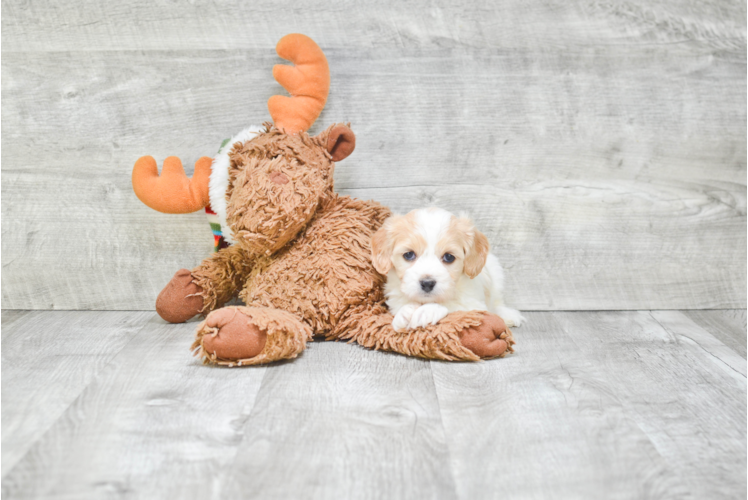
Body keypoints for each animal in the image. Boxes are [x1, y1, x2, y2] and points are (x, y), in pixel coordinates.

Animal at [370, 207, 524, 332]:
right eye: (409, 254)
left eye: (449, 257)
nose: (427, 283)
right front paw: (404, 312)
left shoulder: (475, 305)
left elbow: (453, 305)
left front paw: (427, 310)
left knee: (497, 303)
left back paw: (508, 315)